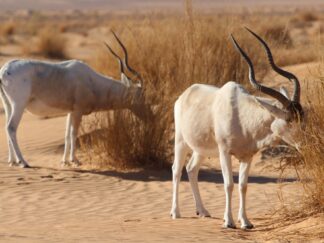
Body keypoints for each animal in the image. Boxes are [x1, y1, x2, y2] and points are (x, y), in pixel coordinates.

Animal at [0, 31, 147, 168]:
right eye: (141, 95)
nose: (149, 117)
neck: (91, 81)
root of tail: (4, 70)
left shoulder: (70, 111)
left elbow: (66, 134)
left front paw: (64, 161)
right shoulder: (78, 111)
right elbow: (73, 133)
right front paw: (74, 160)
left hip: (8, 105)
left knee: (7, 127)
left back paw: (12, 161)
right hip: (19, 105)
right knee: (11, 127)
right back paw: (23, 162)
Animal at [171, 27, 306, 229]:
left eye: (303, 116)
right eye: (289, 119)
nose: (305, 144)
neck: (243, 117)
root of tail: (185, 94)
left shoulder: (247, 156)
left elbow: (243, 186)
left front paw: (246, 222)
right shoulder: (224, 152)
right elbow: (229, 184)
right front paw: (229, 222)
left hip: (201, 149)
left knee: (192, 169)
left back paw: (203, 211)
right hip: (181, 142)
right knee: (176, 169)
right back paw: (175, 212)